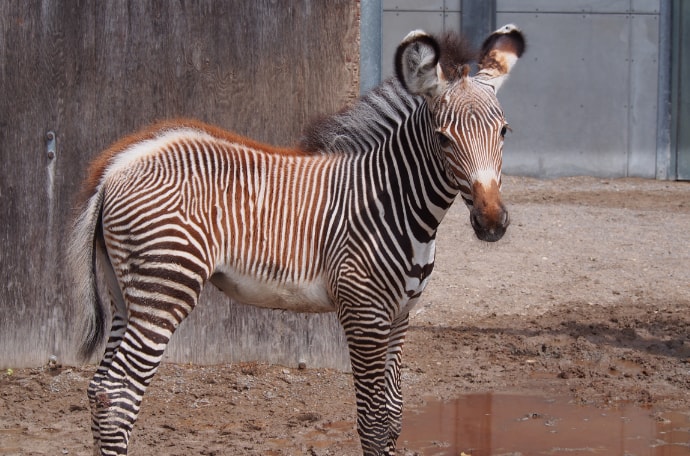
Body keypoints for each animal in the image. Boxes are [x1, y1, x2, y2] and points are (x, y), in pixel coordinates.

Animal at [68, 25, 520, 456]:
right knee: (119, 393)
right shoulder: (364, 314)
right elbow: (373, 424)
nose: (492, 222)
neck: (392, 201)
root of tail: (117, 165)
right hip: (164, 289)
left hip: (127, 294)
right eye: (443, 138)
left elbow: (393, 417)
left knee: (100, 390)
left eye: (504, 132)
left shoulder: (399, 315)